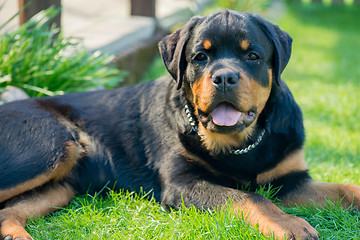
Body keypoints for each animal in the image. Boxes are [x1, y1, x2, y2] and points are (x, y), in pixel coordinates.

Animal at [0, 9, 360, 240]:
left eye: (253, 56)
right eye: (200, 56)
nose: (225, 77)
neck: (240, 145)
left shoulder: (291, 179)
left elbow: (346, 188)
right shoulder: (182, 183)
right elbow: (249, 197)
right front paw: (291, 225)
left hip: (61, 185)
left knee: (7, 211)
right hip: (51, 146)